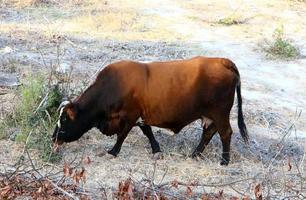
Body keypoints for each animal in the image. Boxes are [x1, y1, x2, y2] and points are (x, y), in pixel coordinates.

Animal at [53, 56, 249, 166]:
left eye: (64, 120)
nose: (53, 137)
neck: (112, 86)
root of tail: (222, 61)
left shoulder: (130, 115)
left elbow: (122, 135)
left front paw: (113, 151)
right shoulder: (141, 115)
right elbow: (147, 131)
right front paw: (156, 149)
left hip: (220, 113)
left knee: (225, 133)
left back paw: (224, 161)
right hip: (211, 115)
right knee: (209, 133)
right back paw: (195, 154)